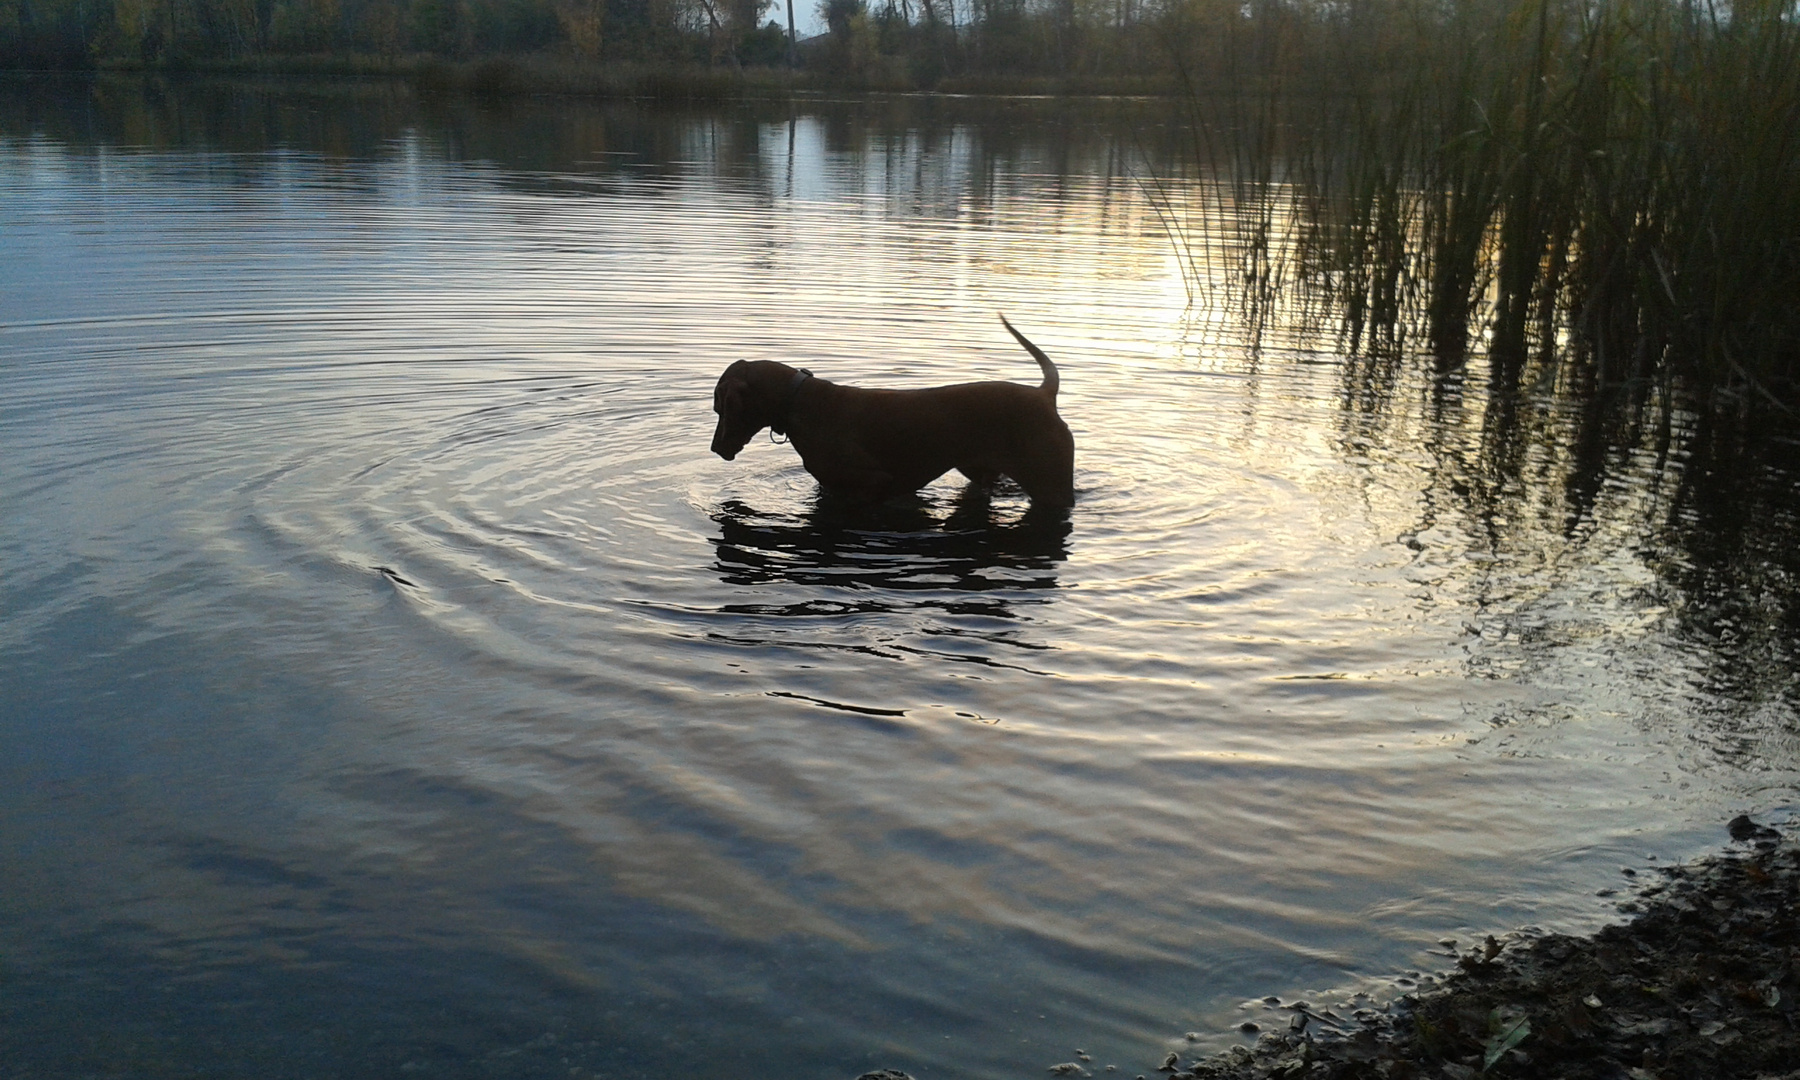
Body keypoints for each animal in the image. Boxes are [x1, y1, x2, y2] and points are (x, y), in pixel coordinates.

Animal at [709, 316, 1072, 511]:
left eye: (719, 409)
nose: (714, 448)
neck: (799, 400)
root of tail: (1043, 394)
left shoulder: (874, 485)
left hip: (1051, 487)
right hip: (979, 473)